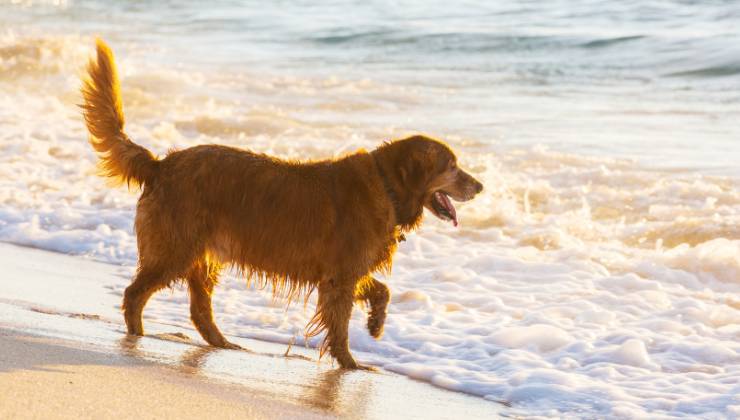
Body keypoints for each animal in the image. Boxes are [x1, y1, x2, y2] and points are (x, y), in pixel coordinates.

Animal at [81, 38, 486, 368]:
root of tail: (162, 163)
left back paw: (223, 342)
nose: (481, 186)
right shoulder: (340, 276)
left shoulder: (345, 269)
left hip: (202, 254)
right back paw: (137, 335)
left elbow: (381, 291)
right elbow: (340, 325)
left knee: (199, 310)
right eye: (452, 166)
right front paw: (350, 363)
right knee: (135, 293)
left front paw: (375, 325)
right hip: (175, 248)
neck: (387, 184)